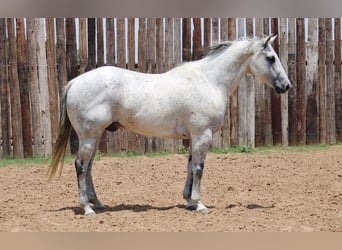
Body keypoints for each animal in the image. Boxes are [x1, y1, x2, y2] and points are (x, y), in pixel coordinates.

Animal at [46, 34, 290, 216]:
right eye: (270, 58)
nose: (286, 86)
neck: (208, 81)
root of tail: (75, 82)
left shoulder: (194, 137)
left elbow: (190, 167)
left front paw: (189, 201)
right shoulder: (203, 135)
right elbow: (199, 168)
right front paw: (200, 204)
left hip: (95, 137)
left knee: (89, 168)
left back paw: (97, 203)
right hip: (88, 136)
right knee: (80, 166)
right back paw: (87, 208)